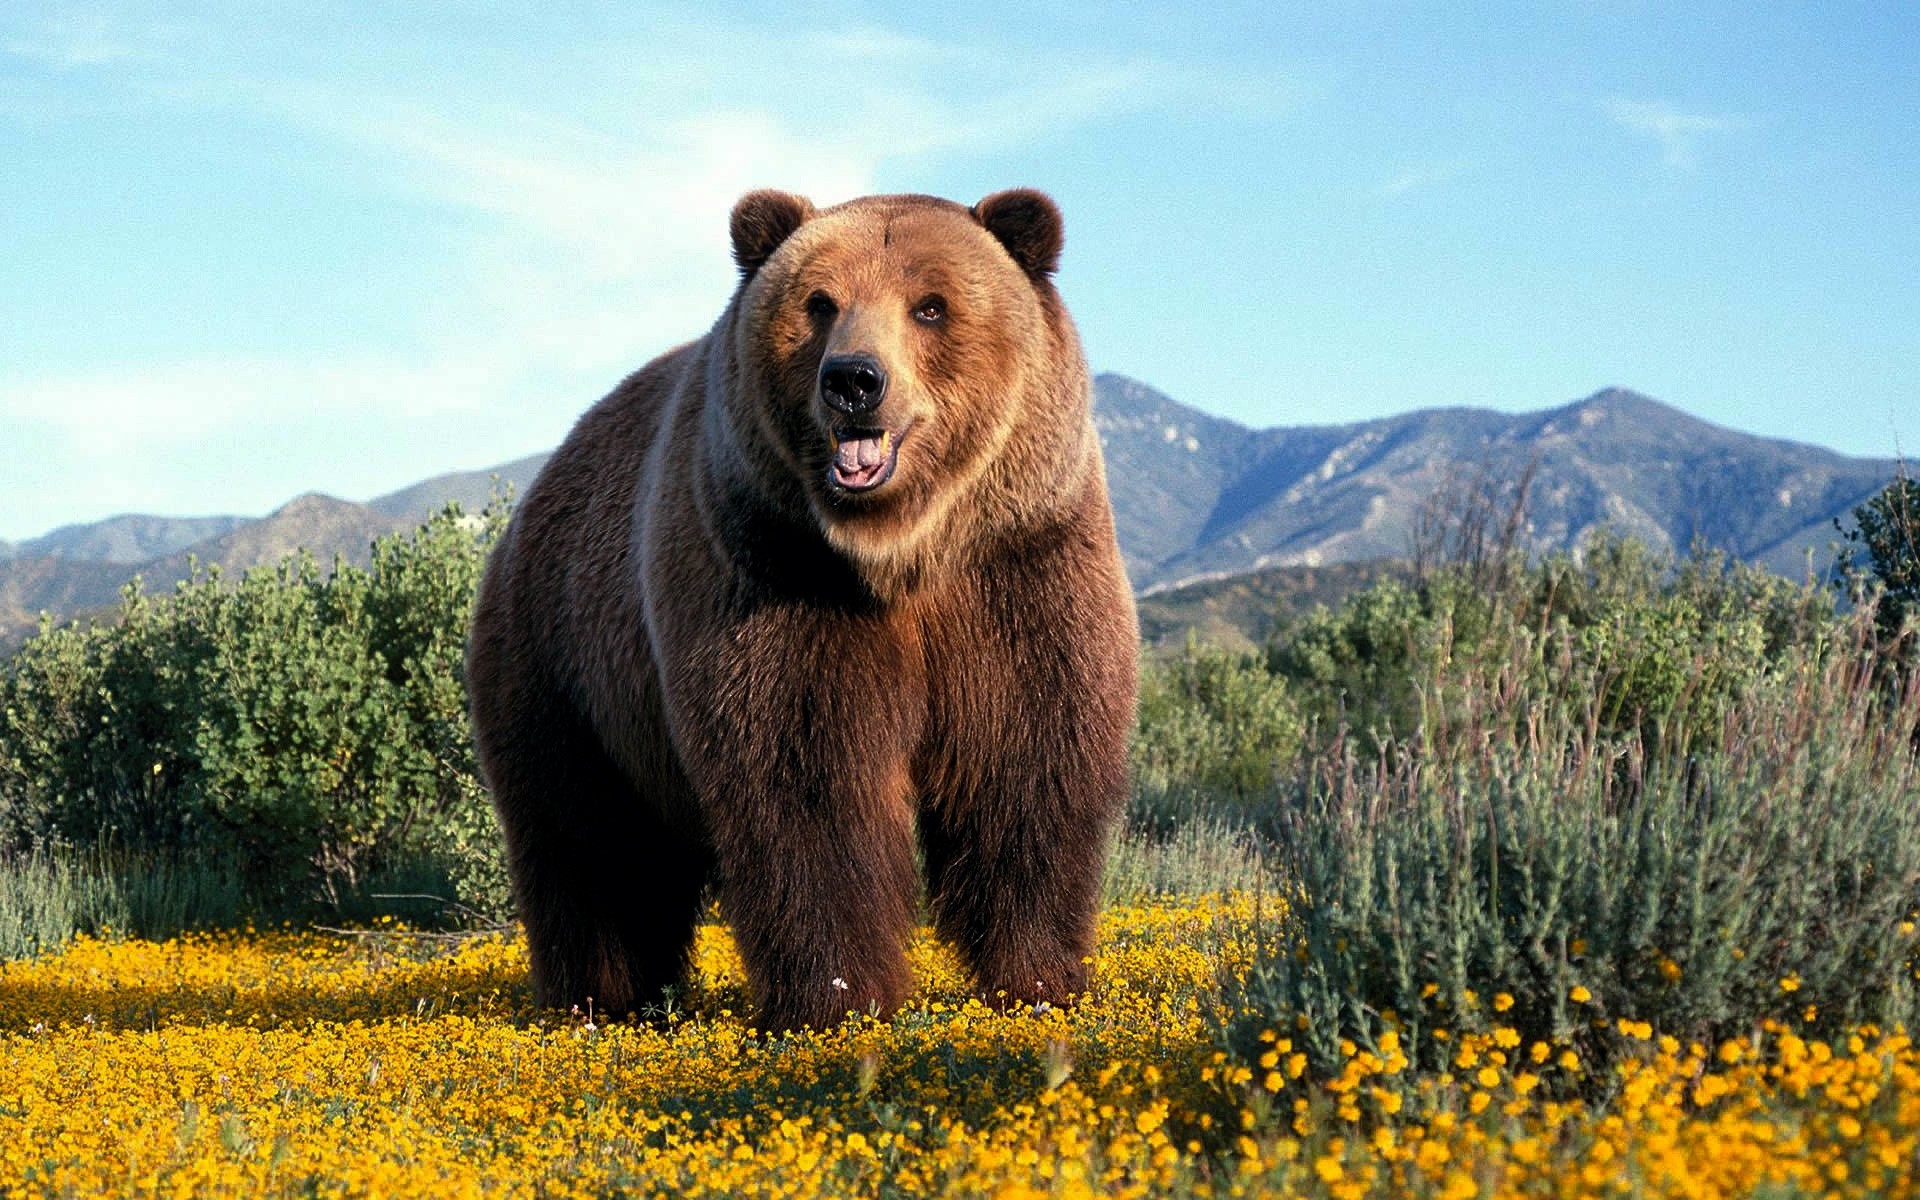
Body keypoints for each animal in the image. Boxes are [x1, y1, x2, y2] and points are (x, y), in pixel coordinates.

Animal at [466, 187, 1136, 1029]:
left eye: (931, 305)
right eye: (820, 303)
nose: (853, 380)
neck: (901, 551)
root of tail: (532, 497)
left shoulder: (1018, 566)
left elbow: (1026, 760)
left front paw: (1039, 979)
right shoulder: (775, 572)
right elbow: (807, 780)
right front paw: (837, 999)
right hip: (565, 665)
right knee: (589, 843)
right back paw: (599, 998)